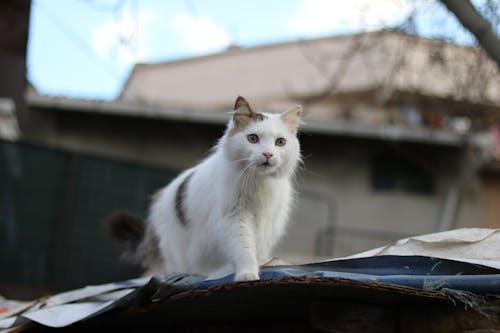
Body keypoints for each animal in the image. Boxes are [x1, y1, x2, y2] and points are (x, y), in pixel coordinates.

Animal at [106, 96, 300, 280]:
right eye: (253, 139)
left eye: (280, 142)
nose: (268, 154)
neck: (259, 183)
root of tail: (159, 198)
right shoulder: (234, 219)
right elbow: (244, 250)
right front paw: (247, 275)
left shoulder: (268, 225)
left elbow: (258, 252)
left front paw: (264, 265)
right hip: (178, 251)